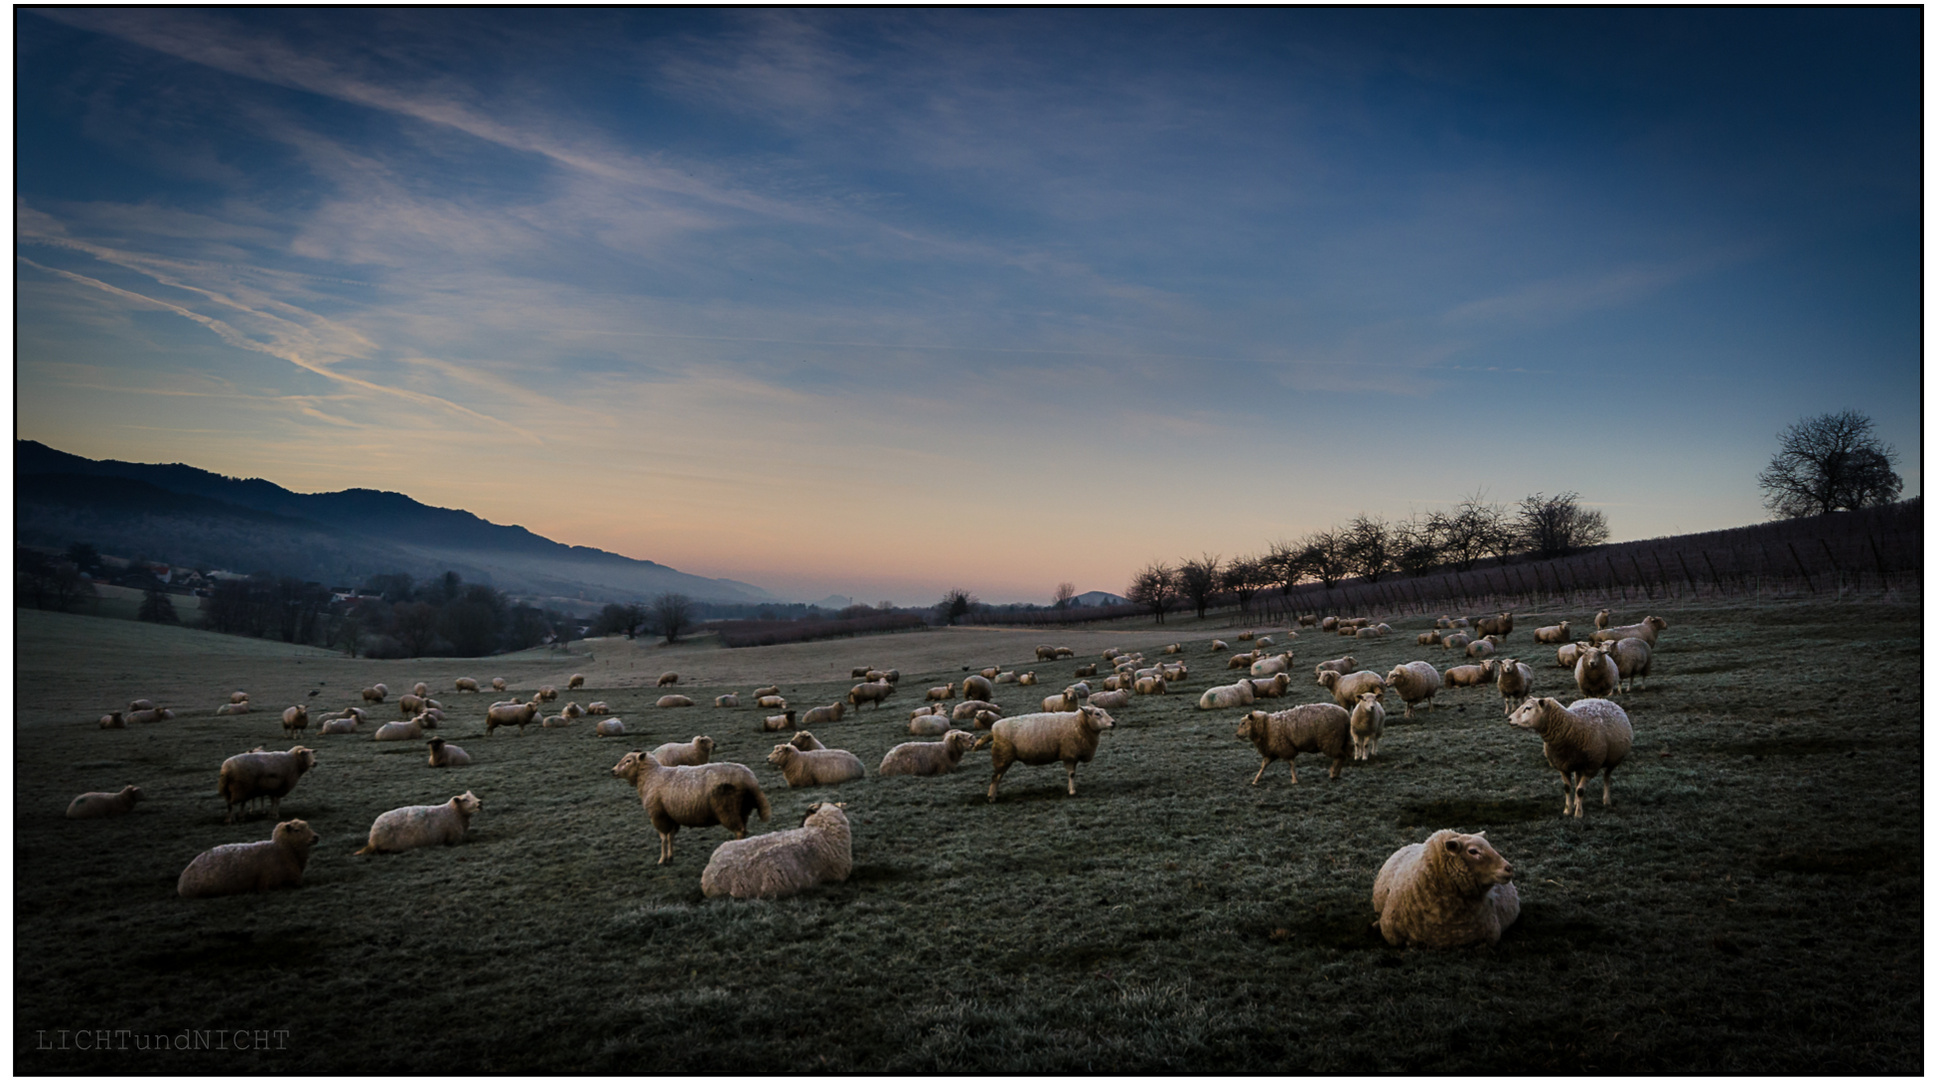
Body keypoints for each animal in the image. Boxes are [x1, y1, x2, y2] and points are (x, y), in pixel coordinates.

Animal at [615, 754, 774, 870]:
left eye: (628, 761)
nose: (613, 771)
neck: (650, 777)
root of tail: (750, 778)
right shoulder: (672, 816)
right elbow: (671, 837)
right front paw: (670, 857)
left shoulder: (659, 816)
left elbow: (663, 838)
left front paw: (662, 859)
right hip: (742, 810)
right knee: (744, 830)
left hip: (727, 809)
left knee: (740, 831)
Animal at [976, 708, 1115, 801]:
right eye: (1097, 714)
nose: (1114, 723)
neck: (1079, 723)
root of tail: (993, 731)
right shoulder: (1069, 753)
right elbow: (1071, 774)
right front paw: (1072, 791)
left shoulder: (1072, 754)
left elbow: (1072, 774)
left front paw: (1070, 788)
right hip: (1002, 755)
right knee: (995, 777)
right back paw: (992, 797)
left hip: (1003, 757)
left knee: (998, 777)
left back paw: (993, 795)